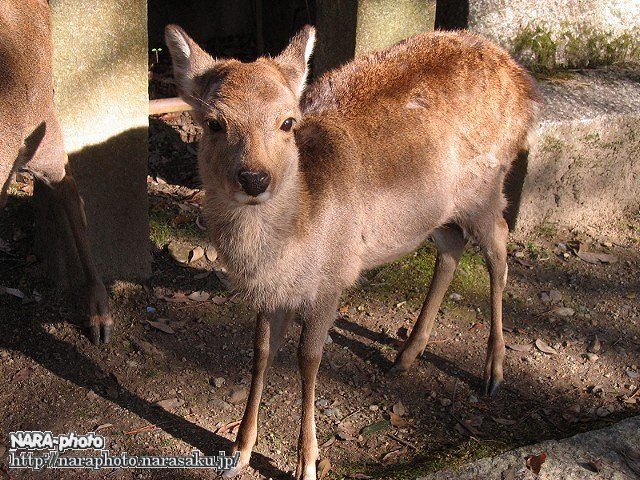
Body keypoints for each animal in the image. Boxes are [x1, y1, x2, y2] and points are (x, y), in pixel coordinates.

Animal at [165, 23, 539, 480]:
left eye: (287, 122)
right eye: (214, 122)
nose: (254, 178)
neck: (286, 249)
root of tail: (525, 86)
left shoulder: (332, 280)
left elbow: (308, 359)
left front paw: (307, 463)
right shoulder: (271, 295)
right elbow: (261, 353)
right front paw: (237, 454)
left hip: (486, 189)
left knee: (500, 247)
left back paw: (493, 371)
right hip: (439, 212)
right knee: (452, 248)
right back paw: (405, 355)